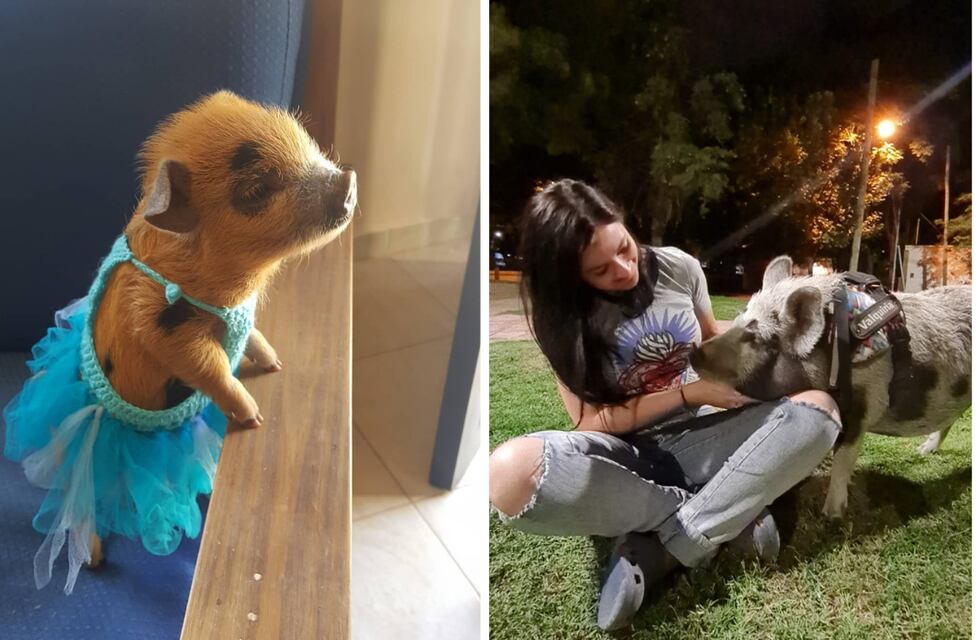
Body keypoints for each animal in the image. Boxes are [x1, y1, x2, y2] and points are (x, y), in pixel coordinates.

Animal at [690, 256, 971, 519]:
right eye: (740, 316)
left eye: (754, 337)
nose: (694, 353)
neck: (832, 346)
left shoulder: (864, 403)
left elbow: (843, 457)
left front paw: (830, 515)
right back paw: (923, 451)